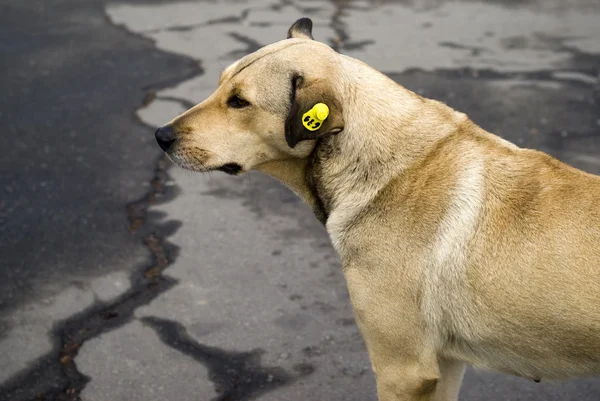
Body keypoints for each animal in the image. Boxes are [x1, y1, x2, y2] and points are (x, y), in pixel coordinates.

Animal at [155, 17, 600, 398]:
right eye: (219, 87)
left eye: (239, 102)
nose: (160, 135)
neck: (387, 167)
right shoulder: (446, 364)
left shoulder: (402, 370)